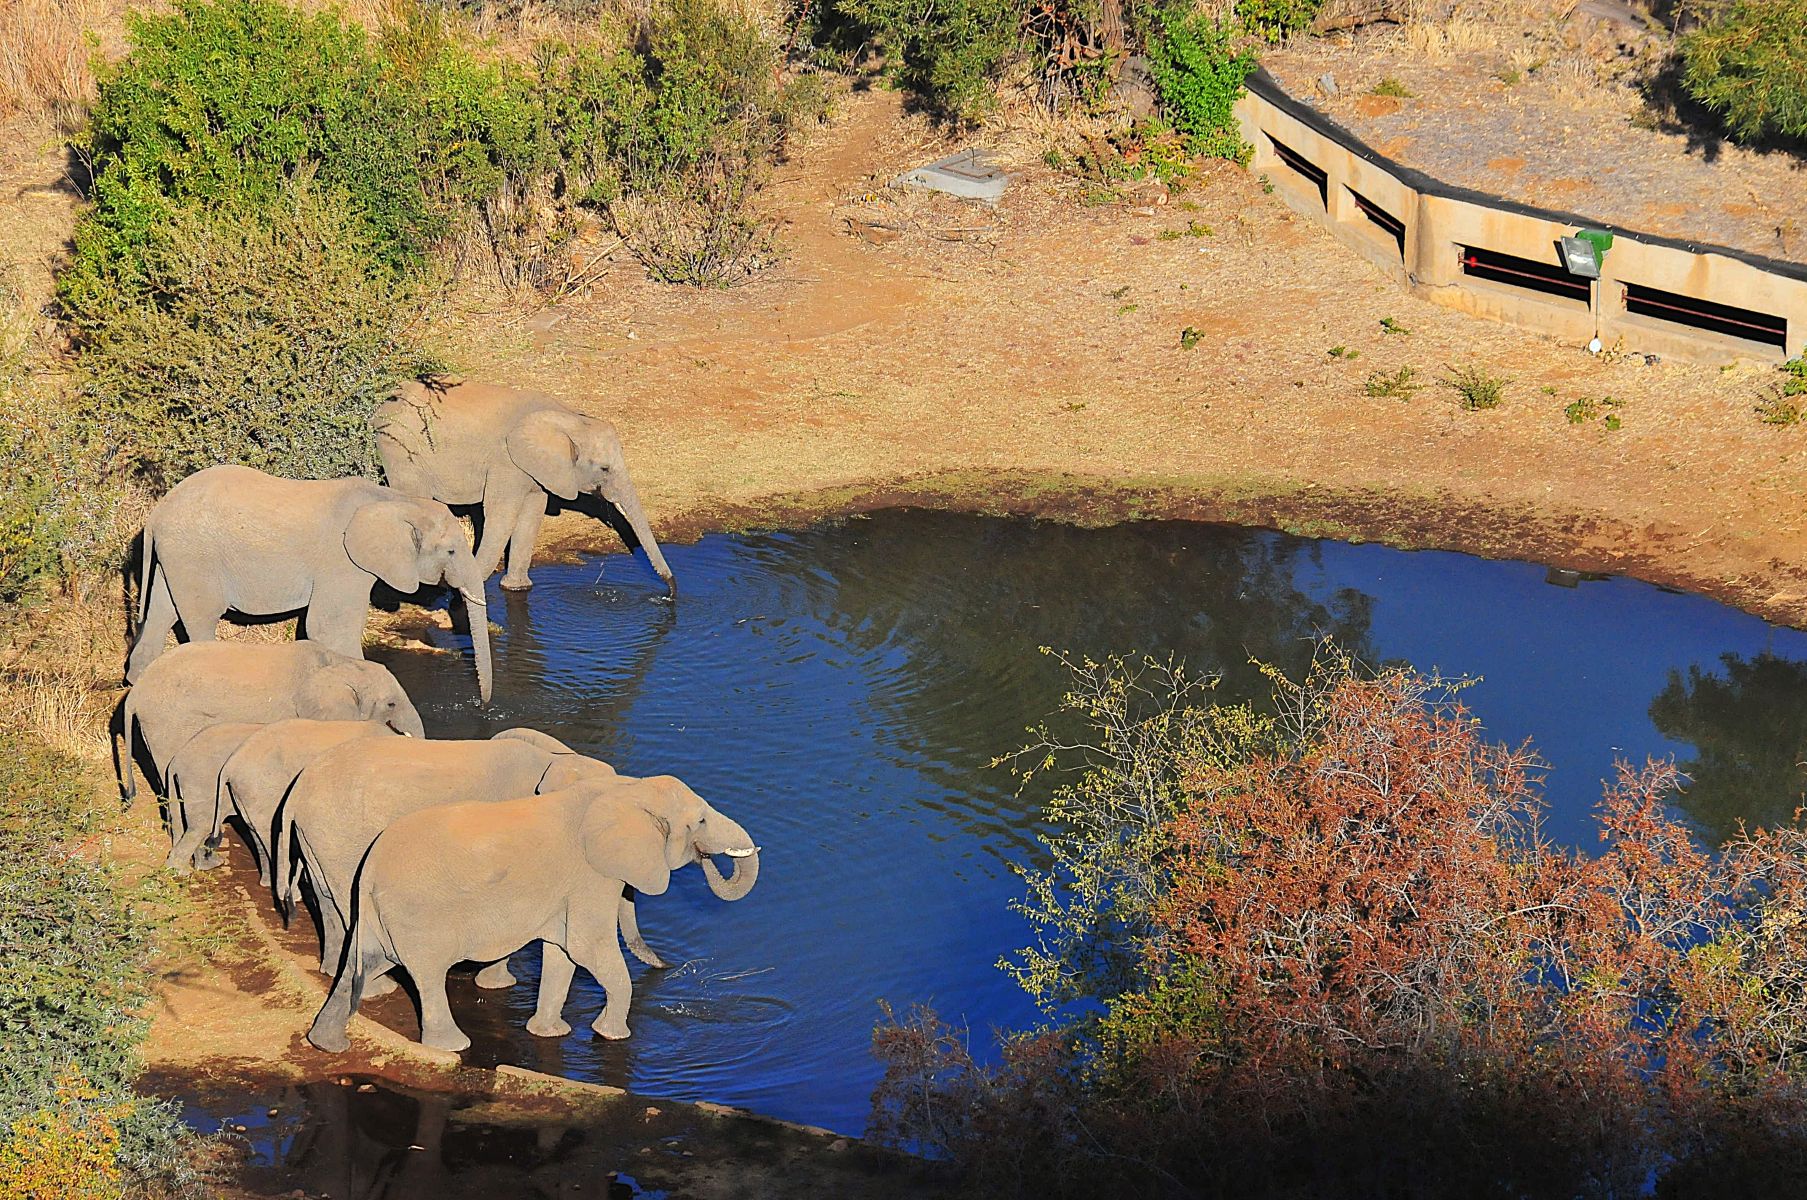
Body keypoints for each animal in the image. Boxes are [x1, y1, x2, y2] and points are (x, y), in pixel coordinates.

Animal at [125, 464, 492, 704]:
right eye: (451, 551)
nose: (482, 705)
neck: (396, 500)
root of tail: (155, 516)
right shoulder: (342, 561)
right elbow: (329, 629)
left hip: (177, 558)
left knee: (162, 611)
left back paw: (136, 681)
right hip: (196, 557)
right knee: (201, 618)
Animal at [275, 728, 630, 988]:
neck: (556, 760)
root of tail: (297, 792)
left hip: (318, 839)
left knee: (327, 901)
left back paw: (332, 971)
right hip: (339, 838)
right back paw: (378, 988)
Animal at [307, 776, 759, 1053]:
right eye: (700, 820)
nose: (671, 966)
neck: (628, 790)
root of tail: (370, 868)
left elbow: (563, 955)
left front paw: (550, 1034)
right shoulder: (591, 877)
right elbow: (587, 948)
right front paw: (611, 1037)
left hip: (378, 918)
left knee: (360, 965)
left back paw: (326, 1043)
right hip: (420, 918)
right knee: (429, 976)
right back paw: (453, 1047)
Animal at [375, 378, 674, 595]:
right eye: (604, 469)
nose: (670, 592)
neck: (570, 419)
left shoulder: (537, 469)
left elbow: (532, 513)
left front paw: (516, 588)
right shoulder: (506, 460)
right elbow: (502, 514)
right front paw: (466, 591)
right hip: (400, 449)